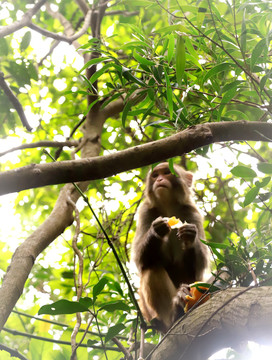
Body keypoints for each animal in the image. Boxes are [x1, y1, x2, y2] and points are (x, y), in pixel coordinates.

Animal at [132, 162, 210, 332]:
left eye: (167, 173)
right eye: (155, 175)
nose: (159, 179)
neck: (168, 206)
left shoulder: (192, 213)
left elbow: (198, 268)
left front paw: (189, 235)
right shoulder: (145, 212)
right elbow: (140, 261)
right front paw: (156, 230)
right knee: (152, 269)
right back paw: (174, 314)